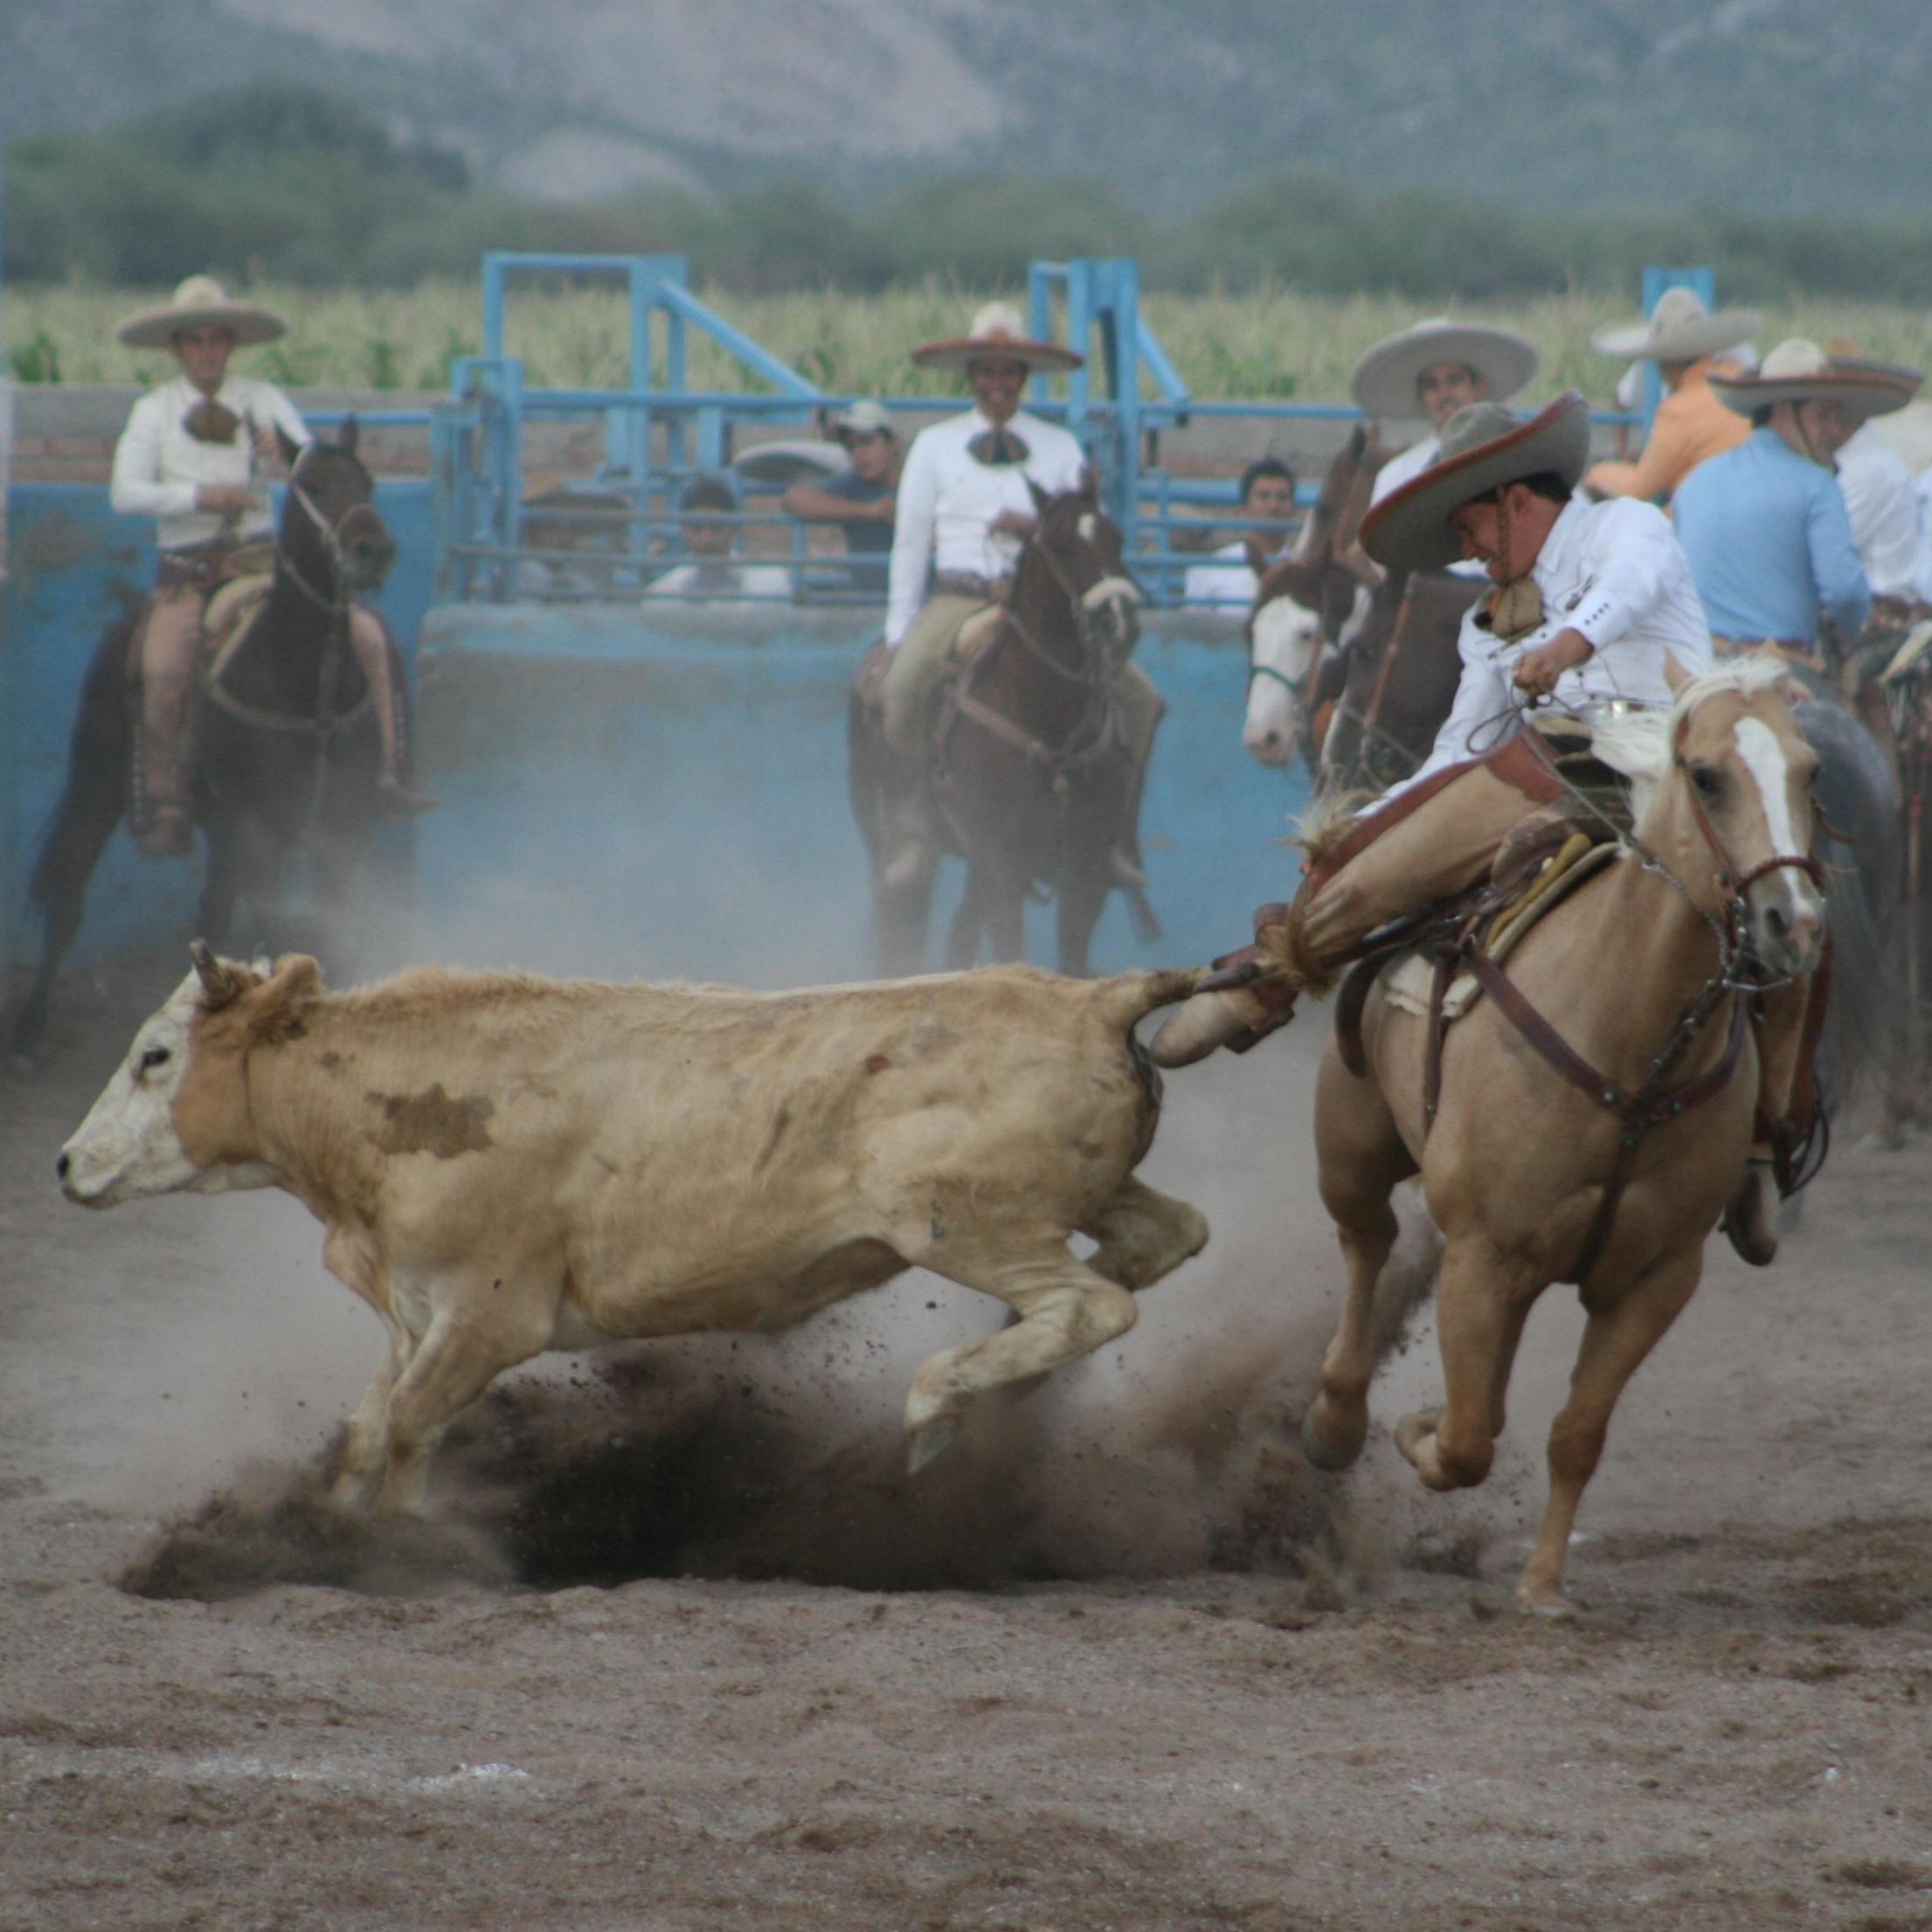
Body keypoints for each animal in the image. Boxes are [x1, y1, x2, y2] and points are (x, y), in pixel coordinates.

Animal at [5, 420, 399, 1058]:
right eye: (314, 485)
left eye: (368, 483)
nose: (373, 550)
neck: (305, 690)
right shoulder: (256, 827)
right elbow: (274, 930)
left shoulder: (341, 833)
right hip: (98, 780)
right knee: (67, 893)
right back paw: (27, 1033)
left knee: (211, 911)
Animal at [1298, 664, 1824, 1615]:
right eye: (1705, 776)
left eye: (1811, 775)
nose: (1790, 921)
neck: (1632, 1052)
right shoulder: (1482, 1251)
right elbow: (1465, 1440)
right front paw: (1417, 1432)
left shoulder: (1655, 1277)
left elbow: (1574, 1430)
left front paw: (1543, 1585)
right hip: (1351, 1147)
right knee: (1366, 1243)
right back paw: (1334, 1421)